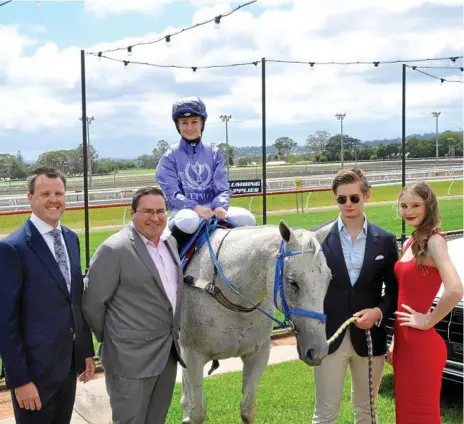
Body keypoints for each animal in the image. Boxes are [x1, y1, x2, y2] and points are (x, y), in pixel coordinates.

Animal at [179, 220, 334, 422]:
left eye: (328, 279)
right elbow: (197, 411)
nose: (318, 351)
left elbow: (248, 408)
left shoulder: (258, 355)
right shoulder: (192, 357)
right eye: (293, 282)